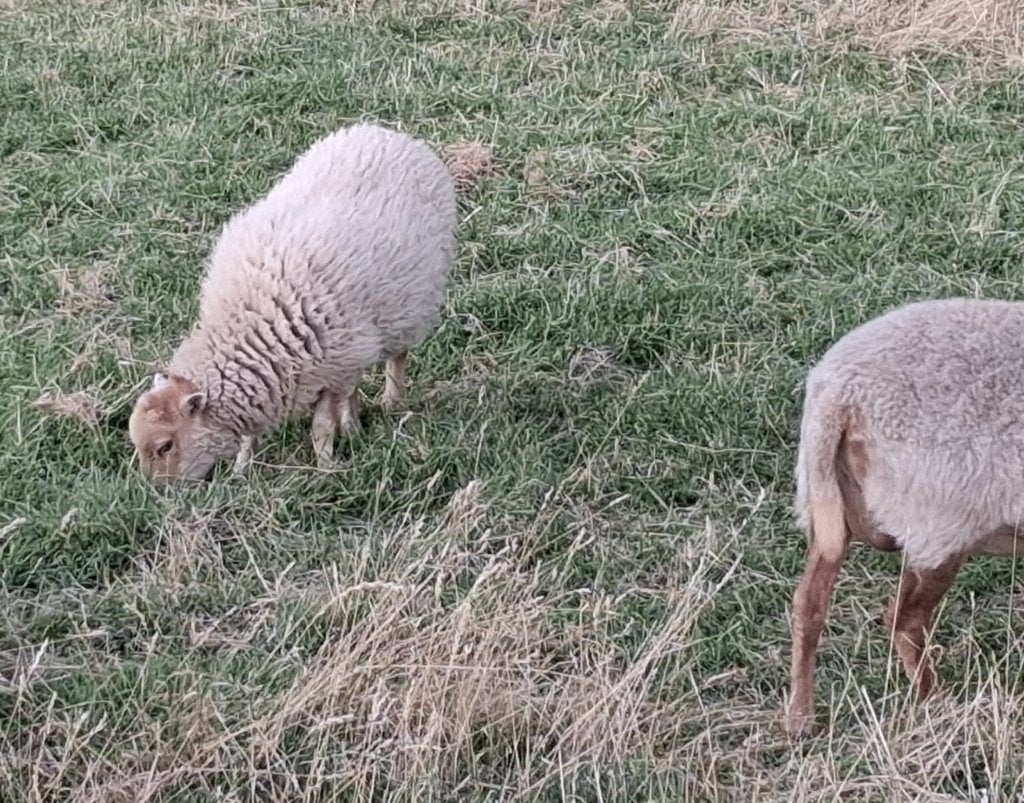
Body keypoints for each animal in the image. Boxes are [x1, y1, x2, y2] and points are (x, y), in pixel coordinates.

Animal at [128, 121, 457, 481]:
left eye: (165, 446)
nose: (158, 490)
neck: (246, 326)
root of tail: (385, 132)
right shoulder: (328, 365)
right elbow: (250, 434)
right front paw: (242, 469)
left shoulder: (330, 369)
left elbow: (322, 426)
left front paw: (326, 468)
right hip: (360, 338)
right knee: (356, 383)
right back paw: (354, 426)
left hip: (408, 305)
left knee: (397, 357)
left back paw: (391, 401)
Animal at [784, 297, 1024, 737]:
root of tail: (836, 391)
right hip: (939, 522)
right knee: (904, 621)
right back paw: (938, 703)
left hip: (830, 507)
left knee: (809, 603)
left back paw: (801, 717)